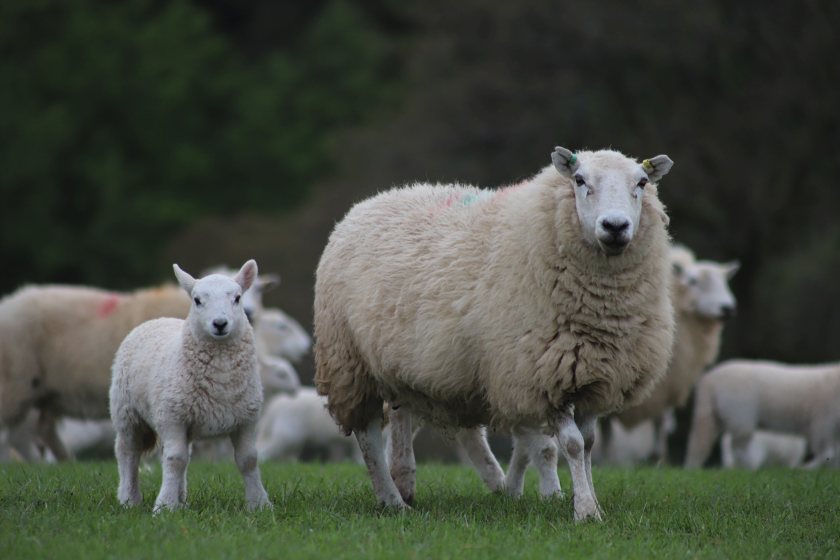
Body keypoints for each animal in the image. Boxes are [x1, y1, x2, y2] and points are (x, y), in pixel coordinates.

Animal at [110, 260, 270, 516]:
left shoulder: (247, 419)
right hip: (127, 411)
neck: (221, 378)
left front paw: (259, 504)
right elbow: (175, 460)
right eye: (197, 300)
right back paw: (129, 499)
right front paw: (164, 506)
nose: (220, 324)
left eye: (237, 298)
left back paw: (182, 500)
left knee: (181, 455)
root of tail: (159, 319)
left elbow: (248, 459)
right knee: (128, 453)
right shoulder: (172, 418)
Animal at [316, 145, 676, 520]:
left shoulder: (595, 375)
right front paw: (586, 511)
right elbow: (573, 444)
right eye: (579, 180)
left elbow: (589, 444)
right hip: (348, 360)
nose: (615, 226)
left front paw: (591, 500)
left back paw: (408, 485)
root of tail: (369, 202)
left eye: (642, 182)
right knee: (367, 434)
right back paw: (391, 499)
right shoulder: (542, 375)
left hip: (401, 368)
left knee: (401, 419)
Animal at [684, 358, 840, 468]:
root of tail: (709, 381)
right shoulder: (822, 420)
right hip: (740, 416)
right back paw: (752, 468)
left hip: (712, 415)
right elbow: (827, 452)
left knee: (699, 444)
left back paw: (692, 467)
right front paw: (809, 469)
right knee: (738, 448)